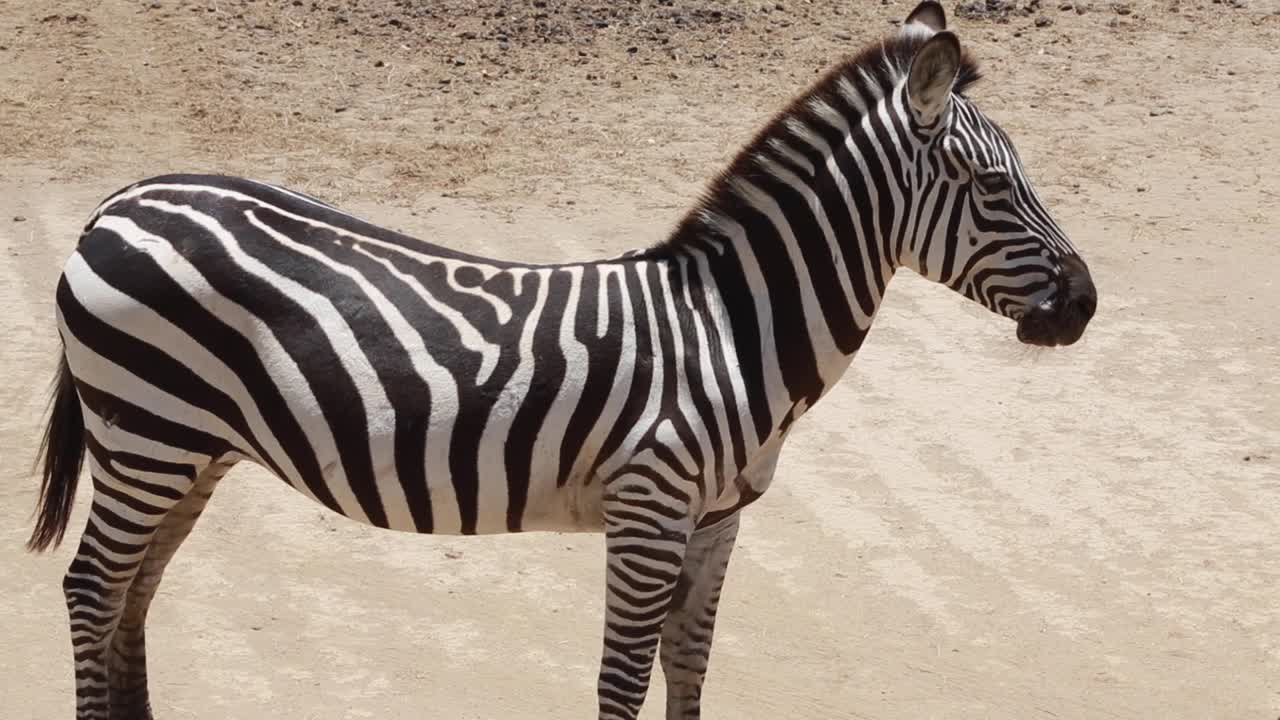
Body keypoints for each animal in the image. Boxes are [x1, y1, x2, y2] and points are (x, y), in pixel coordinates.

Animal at [27, 3, 1096, 719]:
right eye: (993, 187)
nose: (1085, 306)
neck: (733, 328)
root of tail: (119, 201)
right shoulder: (650, 508)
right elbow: (620, 681)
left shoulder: (718, 521)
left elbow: (687, 668)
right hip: (147, 434)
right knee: (90, 589)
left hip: (192, 447)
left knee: (133, 595)